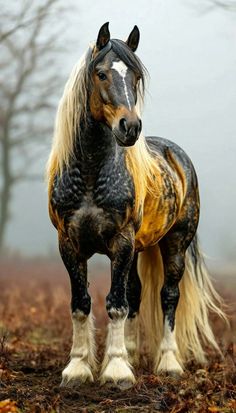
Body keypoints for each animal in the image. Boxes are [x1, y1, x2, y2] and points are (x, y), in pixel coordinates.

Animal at [46, 22, 225, 388]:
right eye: (101, 73)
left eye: (136, 77)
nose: (130, 127)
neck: (91, 173)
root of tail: (176, 155)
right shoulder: (69, 244)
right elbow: (81, 303)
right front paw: (79, 368)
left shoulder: (121, 242)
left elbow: (115, 304)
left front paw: (115, 370)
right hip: (139, 249)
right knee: (136, 294)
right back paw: (130, 353)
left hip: (173, 244)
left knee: (168, 296)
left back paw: (168, 362)